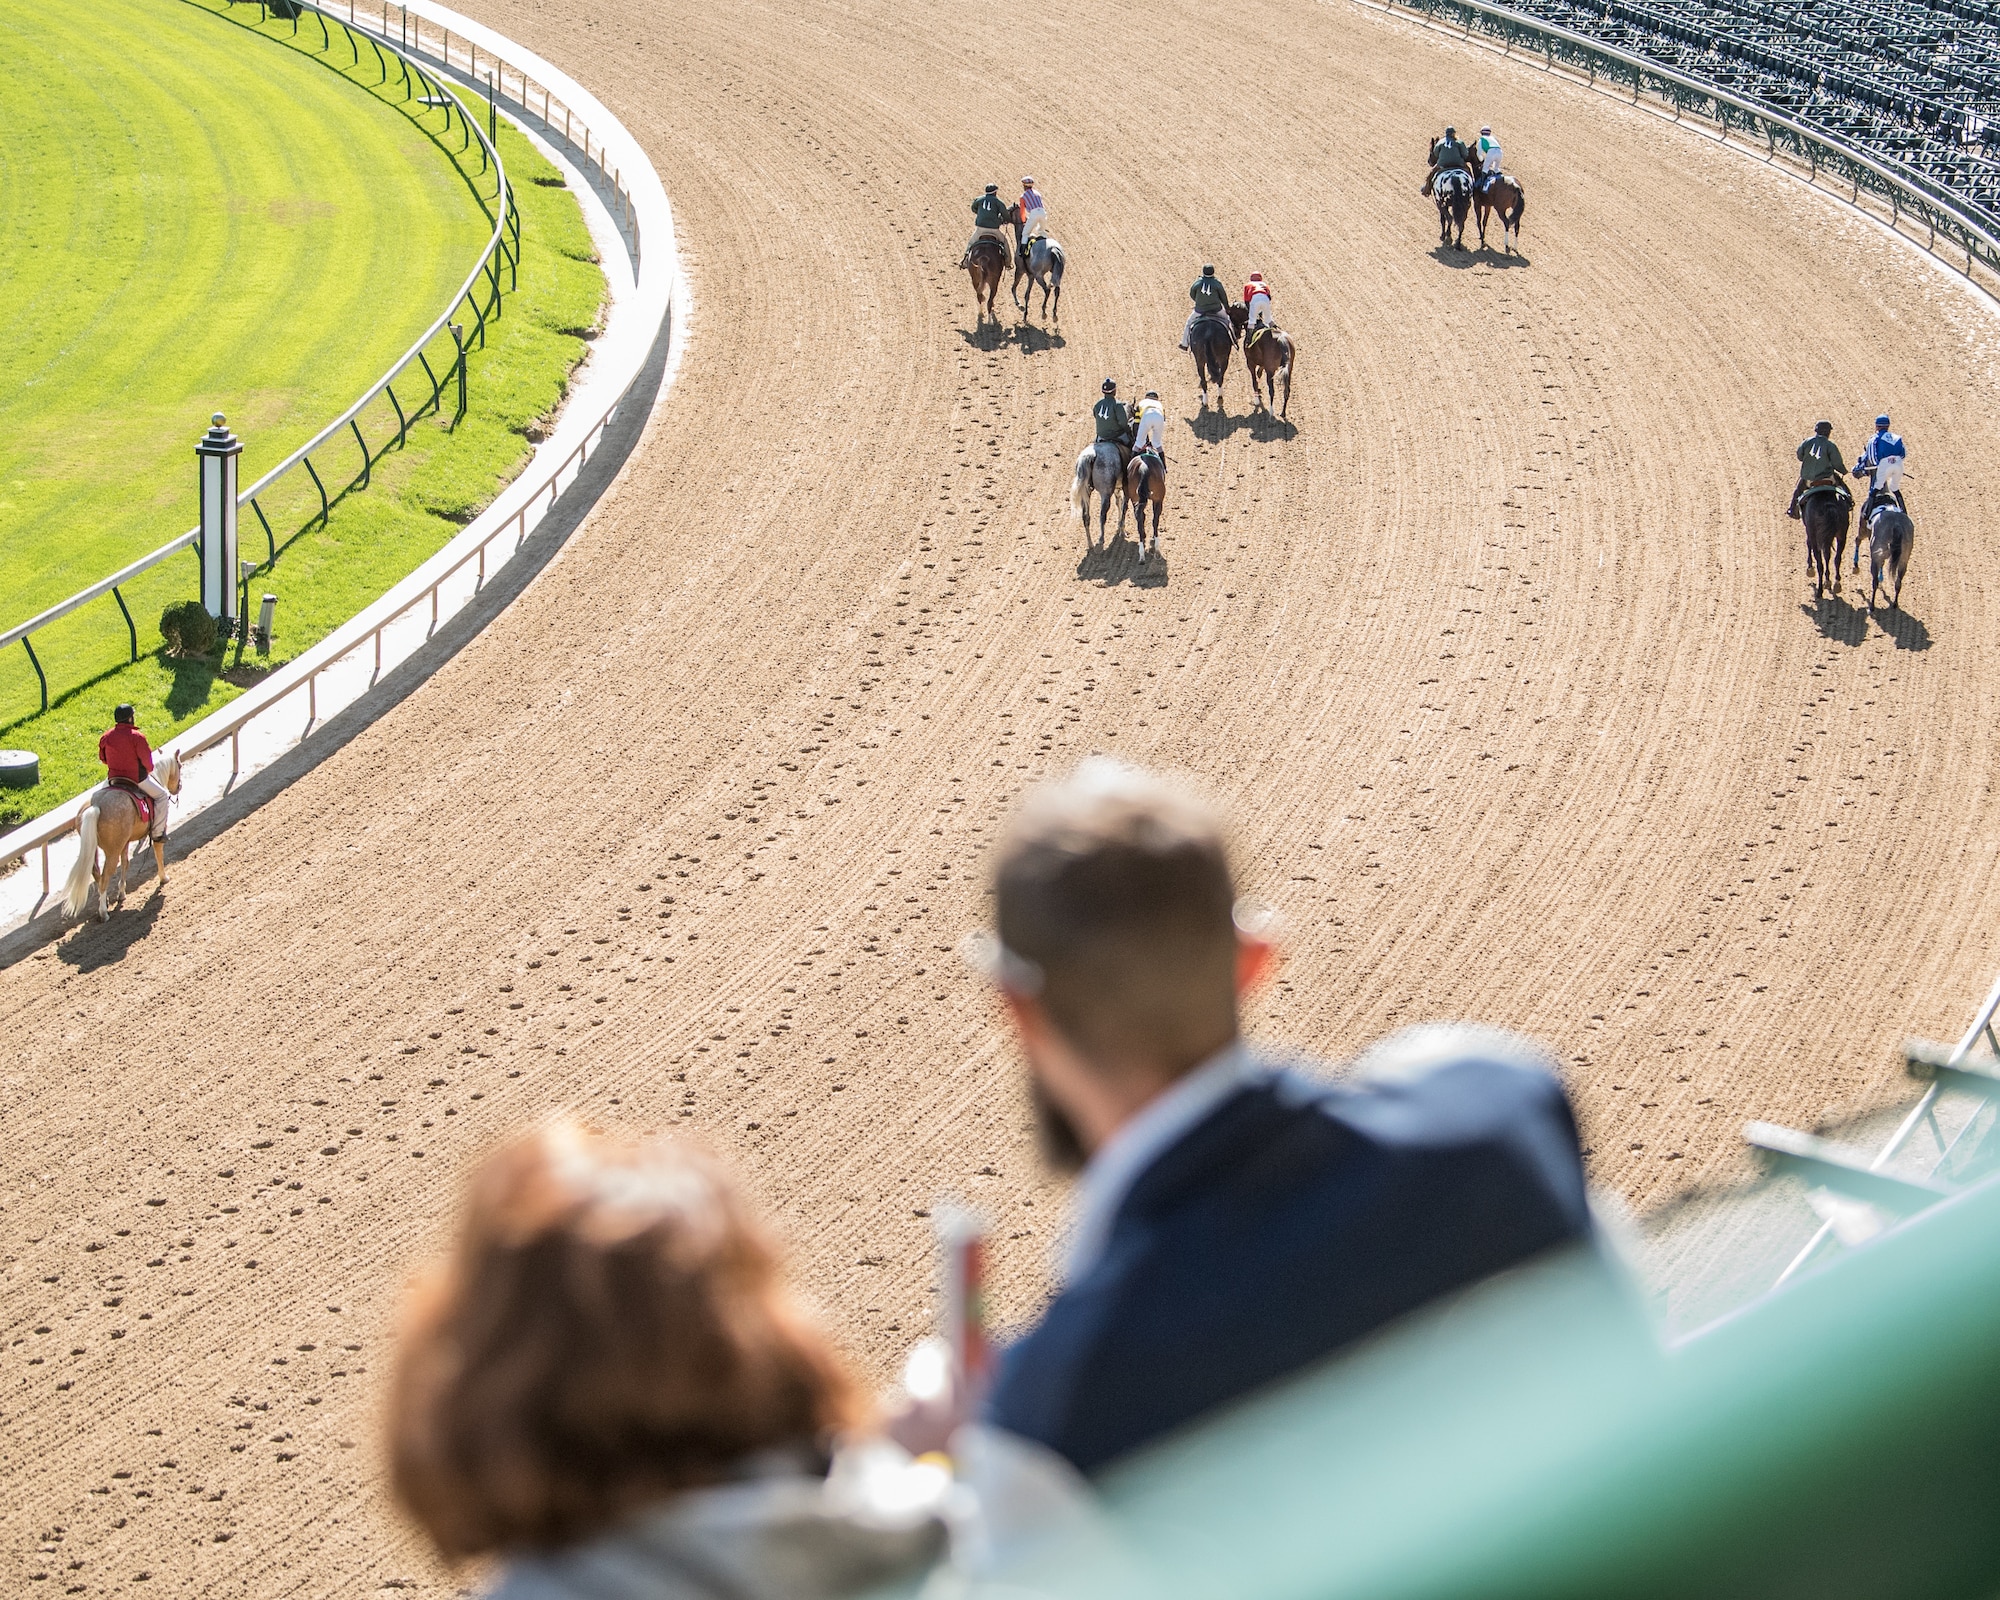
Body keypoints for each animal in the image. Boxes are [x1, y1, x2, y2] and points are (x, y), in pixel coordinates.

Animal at [63, 752, 184, 924]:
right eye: (179, 765)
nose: (179, 787)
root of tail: (95, 805)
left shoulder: (124, 843)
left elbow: (126, 864)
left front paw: (121, 893)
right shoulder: (157, 831)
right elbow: (158, 853)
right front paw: (163, 878)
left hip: (95, 848)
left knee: (96, 873)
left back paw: (105, 901)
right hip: (111, 852)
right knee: (105, 877)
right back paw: (103, 913)